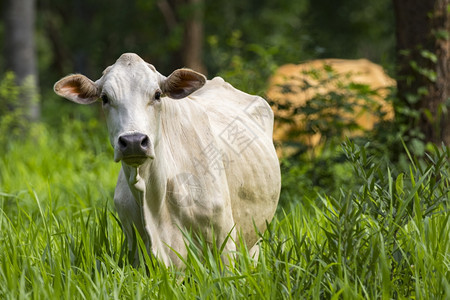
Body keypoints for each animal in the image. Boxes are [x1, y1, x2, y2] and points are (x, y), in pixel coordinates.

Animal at [53, 52, 282, 268]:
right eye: (105, 98)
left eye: (157, 95)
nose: (134, 141)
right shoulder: (138, 249)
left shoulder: (225, 242)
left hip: (253, 244)